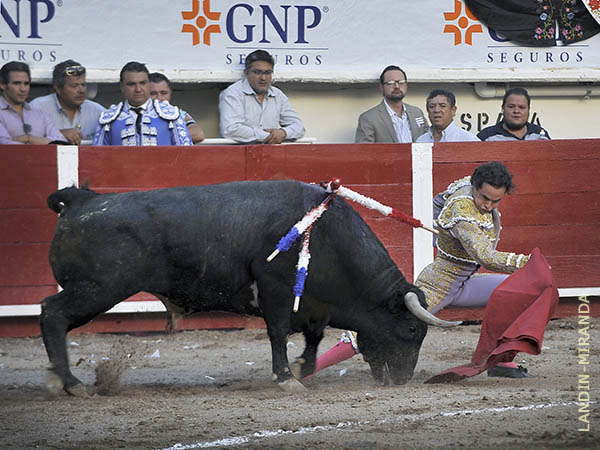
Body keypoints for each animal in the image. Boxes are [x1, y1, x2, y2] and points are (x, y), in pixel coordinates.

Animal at [41, 179, 454, 394]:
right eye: (412, 330)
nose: (402, 380)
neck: (328, 237)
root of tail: (81, 200)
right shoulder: (275, 290)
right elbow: (277, 333)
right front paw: (286, 378)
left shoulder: (314, 305)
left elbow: (313, 338)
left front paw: (302, 369)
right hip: (98, 289)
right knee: (52, 313)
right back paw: (71, 382)